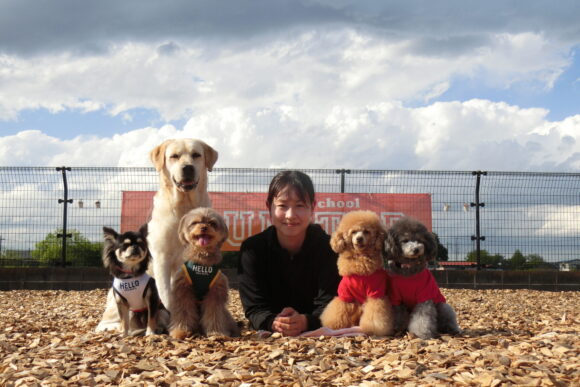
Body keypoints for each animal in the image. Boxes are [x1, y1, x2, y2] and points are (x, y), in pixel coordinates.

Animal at [169, 209, 239, 340]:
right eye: (195, 222)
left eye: (212, 223)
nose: (204, 227)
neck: (202, 260)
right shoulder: (183, 290)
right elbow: (184, 312)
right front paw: (181, 331)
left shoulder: (216, 292)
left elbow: (214, 313)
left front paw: (217, 333)